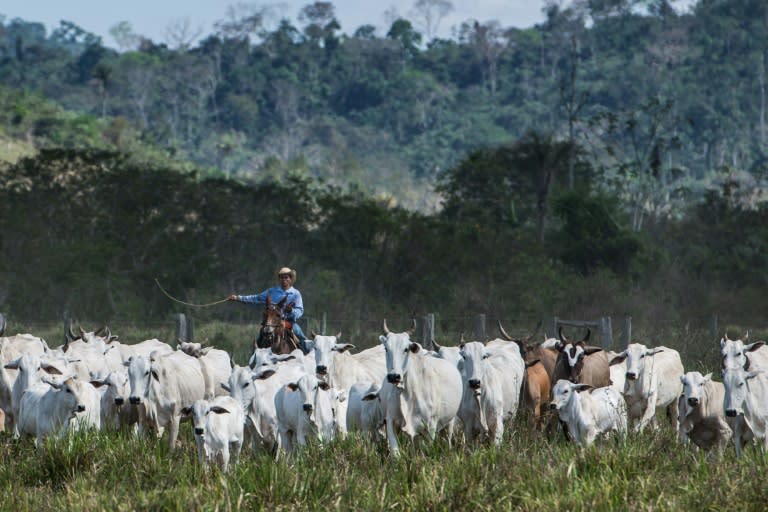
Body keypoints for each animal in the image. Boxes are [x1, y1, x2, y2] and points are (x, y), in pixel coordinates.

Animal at [380, 324, 462, 456]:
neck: (408, 392)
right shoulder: (391, 421)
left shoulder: (430, 425)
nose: (393, 376)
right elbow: (395, 452)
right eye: (386, 349)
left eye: (406, 349)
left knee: (447, 439)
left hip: (449, 422)